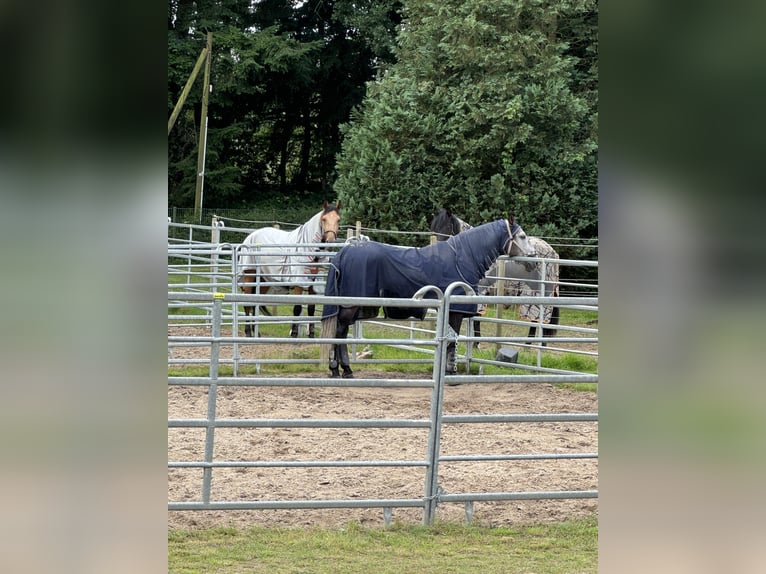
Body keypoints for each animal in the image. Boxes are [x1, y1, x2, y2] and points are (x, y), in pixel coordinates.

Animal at [236, 201, 340, 340]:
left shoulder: (312, 283)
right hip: (250, 276)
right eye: (324, 219)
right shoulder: (298, 283)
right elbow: (297, 308)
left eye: (338, 220)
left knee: (255, 303)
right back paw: (248, 333)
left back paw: (256, 333)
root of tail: (251, 236)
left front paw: (311, 335)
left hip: (263, 281)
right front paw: (294, 334)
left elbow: (311, 308)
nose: (330, 241)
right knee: (247, 304)